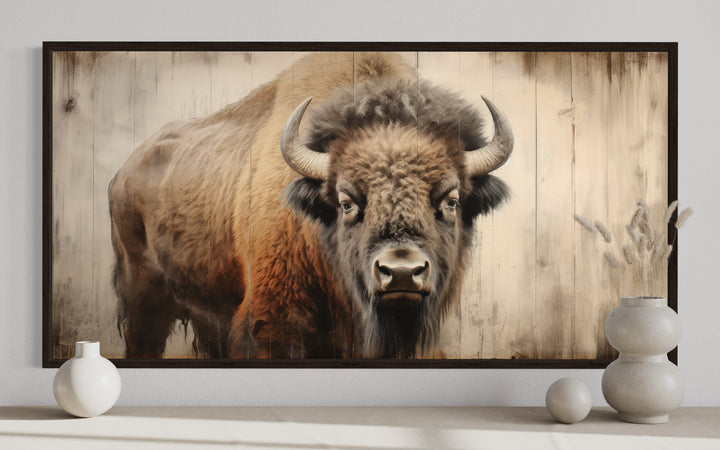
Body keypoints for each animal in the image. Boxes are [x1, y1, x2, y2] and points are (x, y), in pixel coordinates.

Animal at [109, 52, 513, 359]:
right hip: (142, 298)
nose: (401, 272)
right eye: (346, 202)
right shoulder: (273, 324)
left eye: (452, 200)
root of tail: (124, 171)